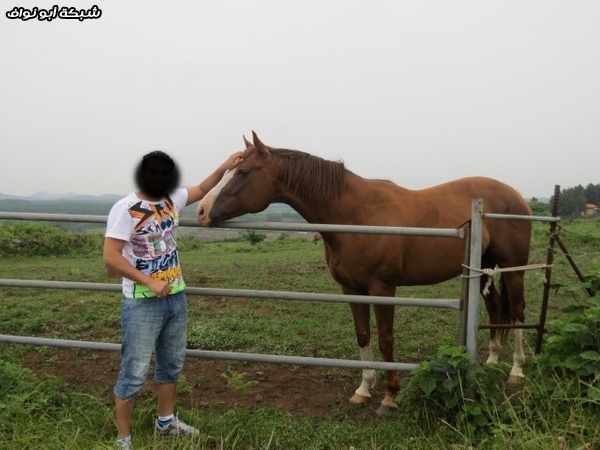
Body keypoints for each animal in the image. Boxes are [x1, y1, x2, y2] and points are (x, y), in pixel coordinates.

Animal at [199, 131, 532, 414]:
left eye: (243, 172)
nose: (201, 211)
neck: (356, 214)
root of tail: (516, 195)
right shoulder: (351, 288)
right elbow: (363, 335)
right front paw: (364, 388)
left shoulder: (383, 289)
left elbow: (385, 339)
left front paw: (390, 395)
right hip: (483, 269)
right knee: (495, 308)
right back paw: (491, 361)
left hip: (514, 270)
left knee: (516, 311)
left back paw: (517, 370)